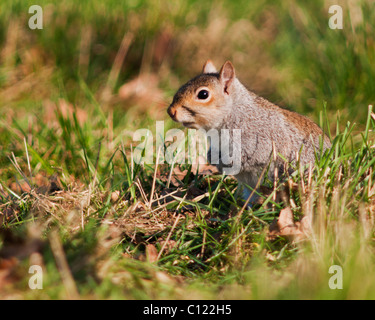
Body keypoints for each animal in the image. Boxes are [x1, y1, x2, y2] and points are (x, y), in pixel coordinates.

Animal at [168, 60, 332, 205]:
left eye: (203, 94)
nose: (171, 111)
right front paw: (211, 157)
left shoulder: (261, 141)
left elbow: (246, 157)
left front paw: (224, 162)